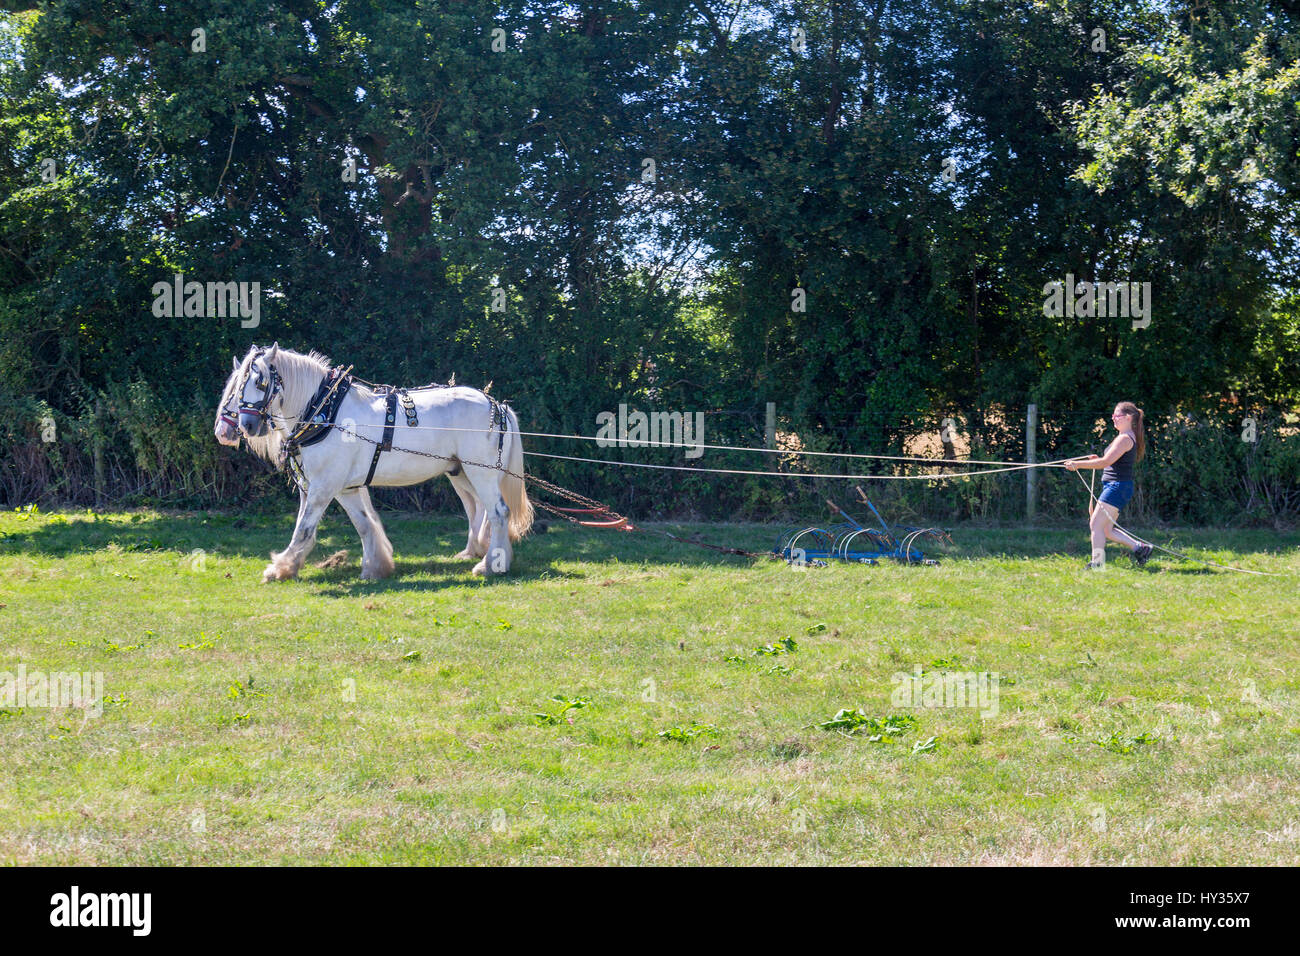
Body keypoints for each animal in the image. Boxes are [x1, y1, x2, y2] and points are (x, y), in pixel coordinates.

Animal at [217, 343, 533, 580]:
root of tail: (496, 405)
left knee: (499, 511)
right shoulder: (342, 488)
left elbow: (304, 529)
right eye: (234, 389)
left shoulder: (323, 487)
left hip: (480, 472)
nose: (242, 425)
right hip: (462, 472)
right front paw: (375, 566)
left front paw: (280, 568)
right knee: (480, 509)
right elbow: (363, 524)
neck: (324, 412)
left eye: (260, 382)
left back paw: (491, 565)